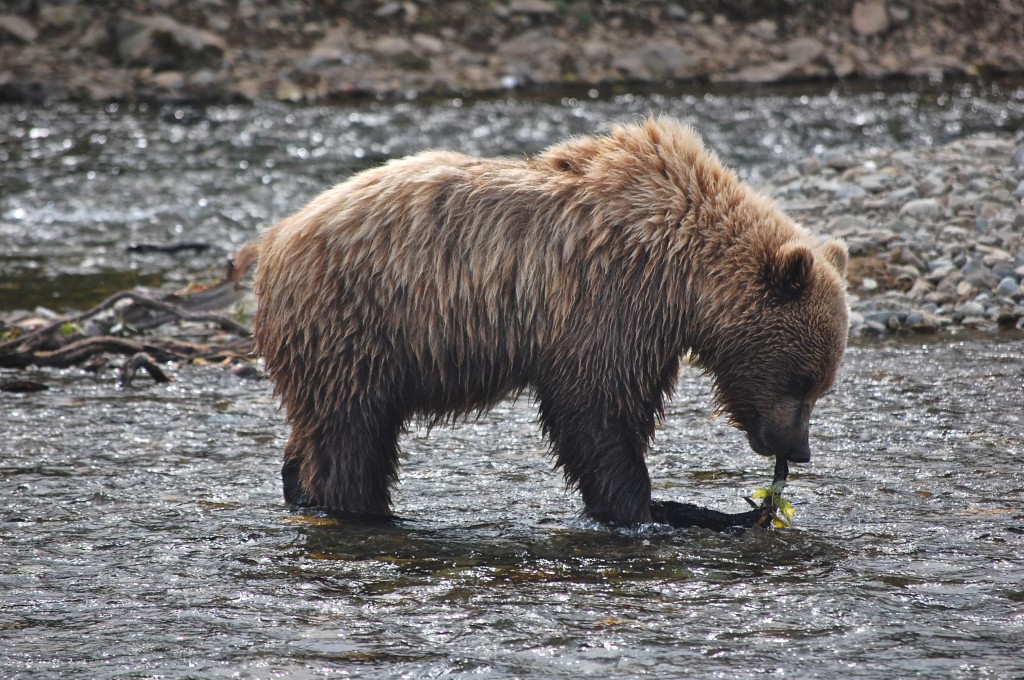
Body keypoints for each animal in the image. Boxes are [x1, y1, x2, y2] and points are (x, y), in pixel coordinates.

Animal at [249, 118, 847, 524]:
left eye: (823, 384)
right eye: (802, 378)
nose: (799, 450)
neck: (684, 275)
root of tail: (274, 242)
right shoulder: (611, 301)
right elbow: (596, 412)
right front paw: (642, 509)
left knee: (316, 429)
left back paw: (301, 489)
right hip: (359, 324)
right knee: (353, 434)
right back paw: (365, 509)